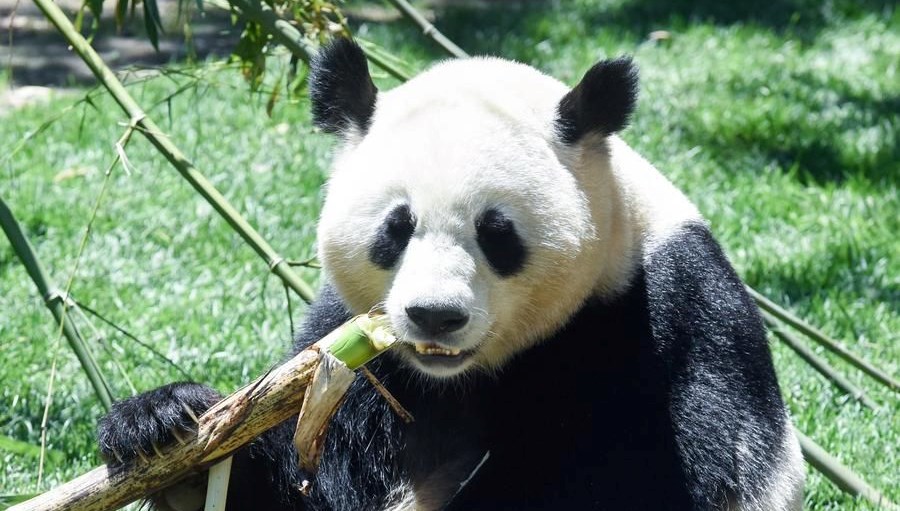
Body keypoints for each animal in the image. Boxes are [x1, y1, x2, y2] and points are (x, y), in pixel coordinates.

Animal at [97, 39, 805, 511]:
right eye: (396, 227)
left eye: (498, 234)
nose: (434, 315)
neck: (461, 377)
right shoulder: (356, 359)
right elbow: (303, 478)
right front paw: (164, 425)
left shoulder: (658, 319)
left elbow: (639, 474)